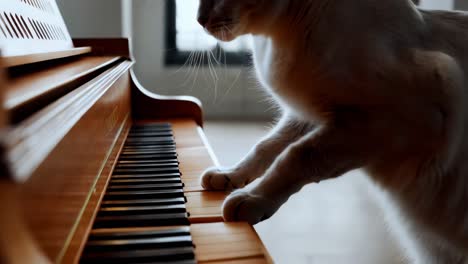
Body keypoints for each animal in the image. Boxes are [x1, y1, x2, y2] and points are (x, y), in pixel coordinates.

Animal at [196, 0, 468, 262]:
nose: (199, 19)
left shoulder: (377, 125)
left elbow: (295, 157)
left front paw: (252, 199)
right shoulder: (311, 116)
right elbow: (265, 148)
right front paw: (228, 175)